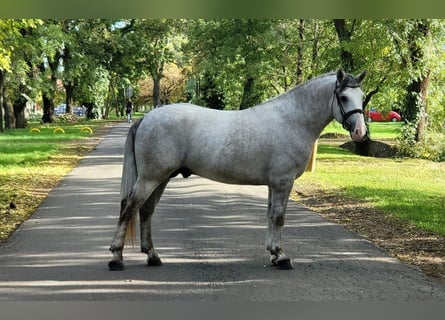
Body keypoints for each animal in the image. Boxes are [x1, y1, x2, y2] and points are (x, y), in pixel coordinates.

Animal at [107, 69, 364, 270]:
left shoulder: (274, 184)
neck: (292, 119)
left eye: (362, 97)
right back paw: (116, 258)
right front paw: (281, 257)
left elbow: (270, 215)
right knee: (129, 208)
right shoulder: (283, 182)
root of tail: (147, 118)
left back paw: (153, 255)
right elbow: (279, 217)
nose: (360, 132)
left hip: (161, 178)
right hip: (150, 178)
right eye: (343, 97)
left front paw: (273, 253)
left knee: (146, 211)